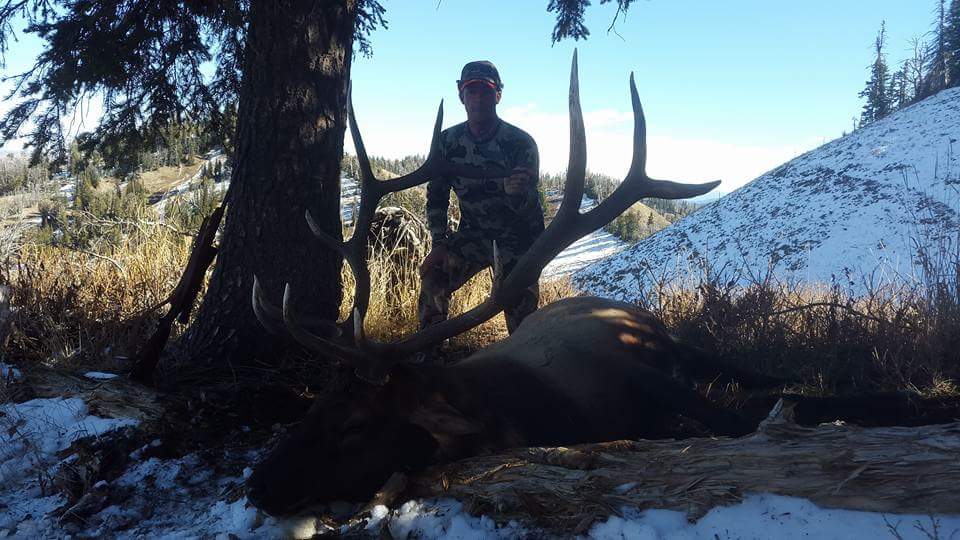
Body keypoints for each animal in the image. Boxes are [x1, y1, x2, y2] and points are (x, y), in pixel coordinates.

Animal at [245, 52, 759, 516]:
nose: (256, 485)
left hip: (670, 339)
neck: (530, 413)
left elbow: (734, 421)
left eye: (354, 425)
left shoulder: (638, 371)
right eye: (313, 408)